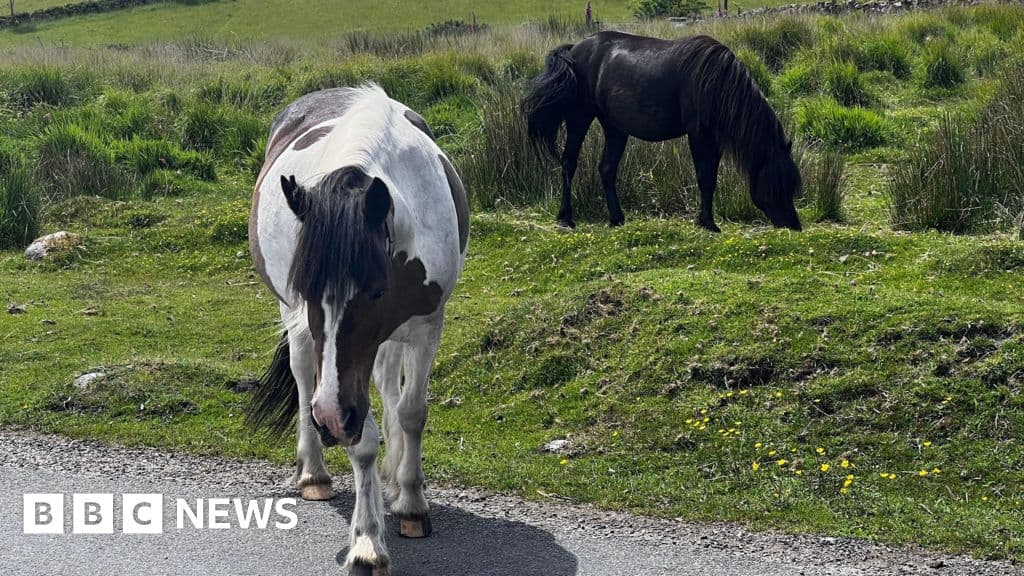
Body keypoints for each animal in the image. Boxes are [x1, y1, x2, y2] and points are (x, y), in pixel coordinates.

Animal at [247, 85, 469, 576]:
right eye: (307, 289)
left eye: (376, 290)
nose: (330, 417)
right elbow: (363, 440)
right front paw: (367, 540)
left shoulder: (427, 327)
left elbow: (411, 412)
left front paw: (410, 501)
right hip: (297, 330)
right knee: (303, 373)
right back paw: (313, 472)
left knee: (388, 387)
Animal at [522, 31, 803, 232]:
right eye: (777, 182)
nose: (794, 225)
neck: (715, 82)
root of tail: (575, 50)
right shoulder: (698, 134)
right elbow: (704, 177)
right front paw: (708, 224)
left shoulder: (715, 139)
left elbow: (711, 179)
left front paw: (706, 221)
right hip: (579, 118)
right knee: (568, 164)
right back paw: (566, 219)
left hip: (615, 128)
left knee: (607, 168)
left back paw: (617, 218)